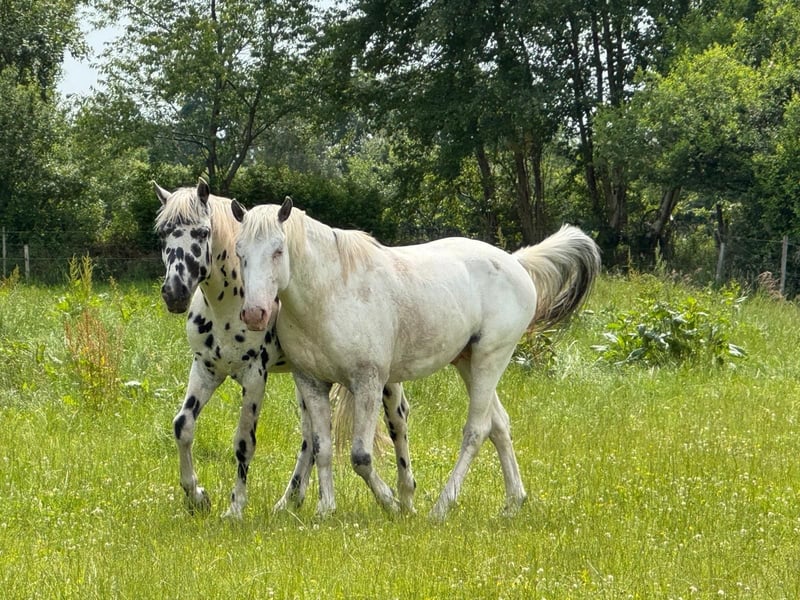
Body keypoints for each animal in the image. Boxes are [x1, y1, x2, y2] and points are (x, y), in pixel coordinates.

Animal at [154, 180, 413, 518]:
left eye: (201, 232)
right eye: (163, 233)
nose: (175, 293)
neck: (227, 306)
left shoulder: (254, 377)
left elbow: (244, 443)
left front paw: (235, 508)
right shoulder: (205, 369)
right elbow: (182, 425)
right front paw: (196, 496)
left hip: (386, 382)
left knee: (398, 421)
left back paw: (402, 497)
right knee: (310, 438)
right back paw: (289, 501)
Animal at [232, 198, 601, 520]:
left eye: (278, 250)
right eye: (241, 253)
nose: (254, 314)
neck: (330, 292)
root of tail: (516, 262)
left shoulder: (368, 382)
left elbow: (360, 456)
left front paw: (392, 504)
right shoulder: (311, 382)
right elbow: (321, 448)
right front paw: (326, 510)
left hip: (490, 358)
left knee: (477, 430)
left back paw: (441, 507)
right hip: (468, 361)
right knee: (499, 425)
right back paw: (513, 503)